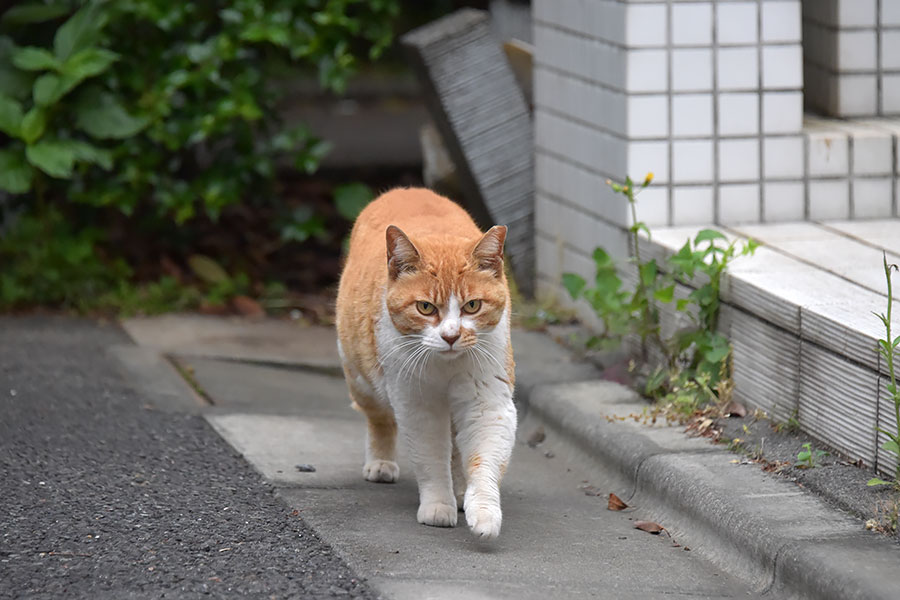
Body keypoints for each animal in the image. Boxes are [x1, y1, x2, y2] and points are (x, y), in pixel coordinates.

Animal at [334, 186, 516, 540]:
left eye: (472, 306)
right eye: (425, 307)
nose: (451, 335)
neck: (447, 366)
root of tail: (406, 189)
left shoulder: (488, 401)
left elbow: (483, 460)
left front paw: (483, 512)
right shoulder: (417, 405)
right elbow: (431, 459)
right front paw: (438, 506)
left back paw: (460, 489)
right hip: (362, 380)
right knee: (379, 419)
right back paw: (382, 464)